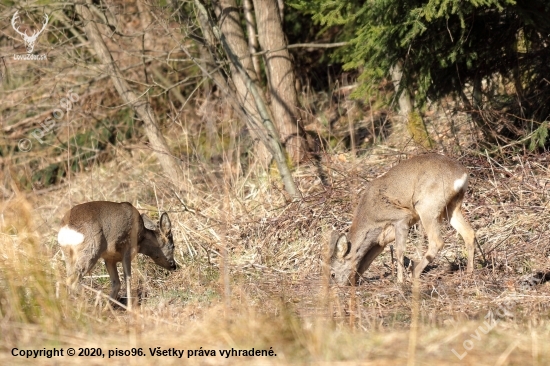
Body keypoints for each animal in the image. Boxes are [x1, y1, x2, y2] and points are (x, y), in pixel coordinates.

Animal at [330, 154, 476, 286]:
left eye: (332, 274)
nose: (340, 285)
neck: (369, 219)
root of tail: (462, 174)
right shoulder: (380, 240)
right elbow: (366, 261)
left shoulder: (401, 218)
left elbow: (399, 251)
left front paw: (400, 281)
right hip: (451, 206)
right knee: (469, 233)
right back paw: (469, 273)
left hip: (427, 205)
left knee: (437, 241)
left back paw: (415, 273)